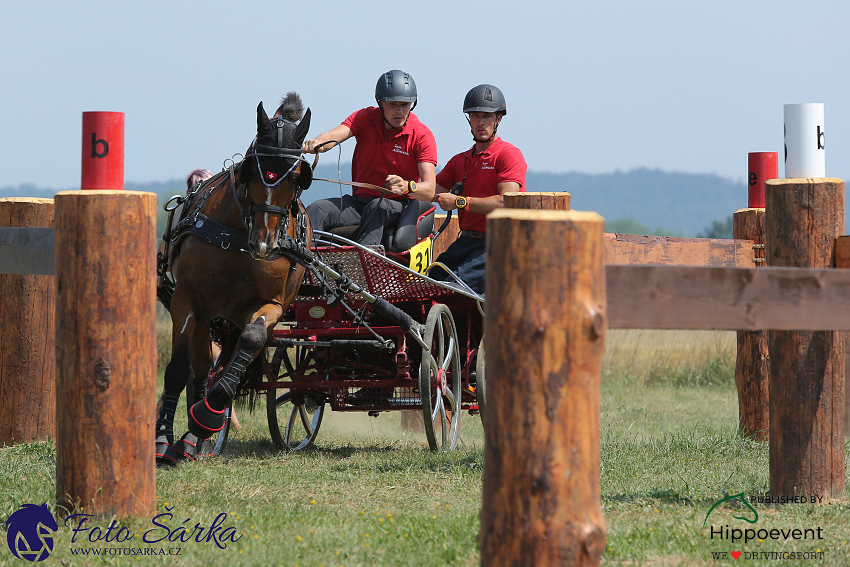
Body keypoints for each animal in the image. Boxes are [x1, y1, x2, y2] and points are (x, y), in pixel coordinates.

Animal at [155, 94, 312, 466]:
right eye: (254, 169)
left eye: (297, 178)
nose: (265, 244)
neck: (239, 237)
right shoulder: (186, 299)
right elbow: (178, 369)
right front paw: (163, 440)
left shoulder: (270, 306)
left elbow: (251, 343)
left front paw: (207, 416)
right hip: (206, 315)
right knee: (200, 367)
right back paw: (185, 442)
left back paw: (196, 434)